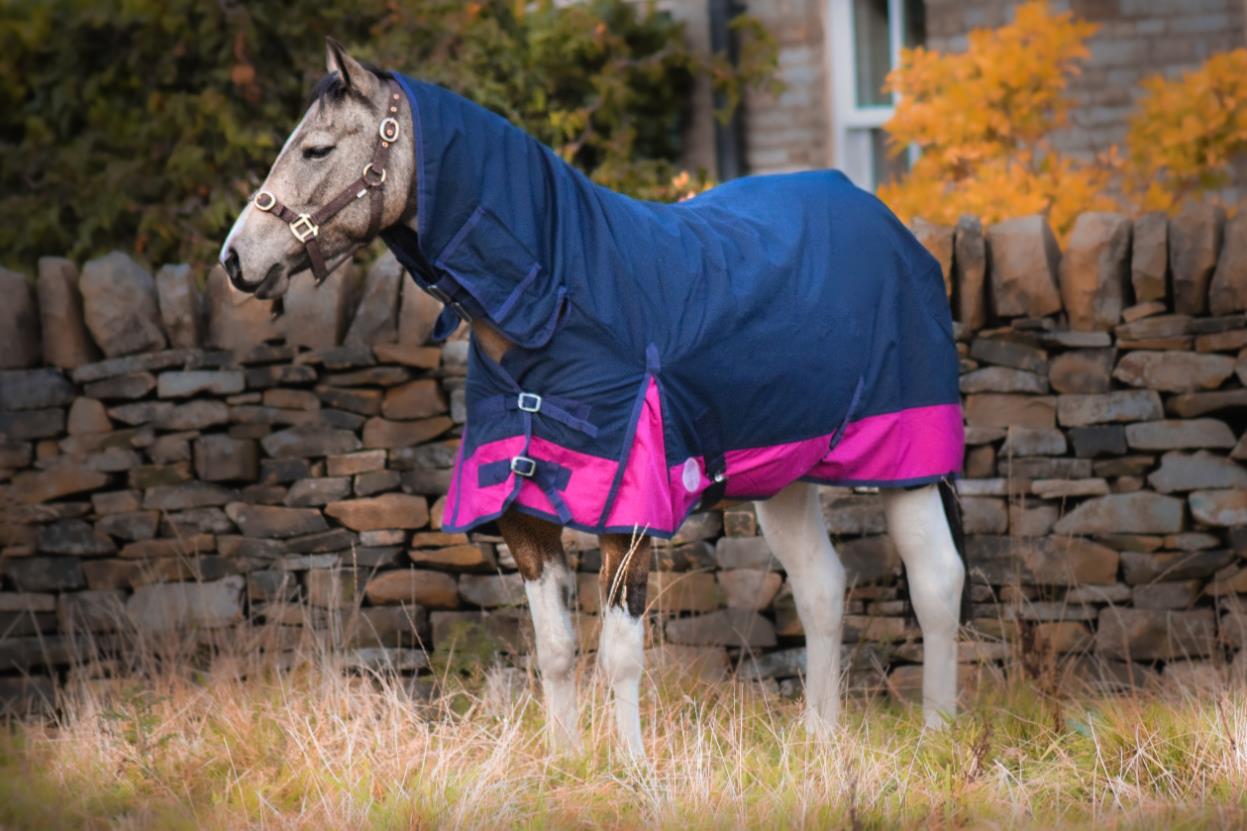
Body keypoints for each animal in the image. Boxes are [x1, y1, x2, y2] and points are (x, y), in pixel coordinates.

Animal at [221, 39, 968, 760]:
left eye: (318, 149)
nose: (235, 260)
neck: (563, 300)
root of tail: (887, 223)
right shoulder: (521, 513)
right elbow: (554, 650)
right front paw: (564, 761)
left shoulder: (630, 512)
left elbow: (619, 654)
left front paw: (632, 768)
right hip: (782, 476)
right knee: (821, 589)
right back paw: (818, 736)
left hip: (910, 462)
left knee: (936, 581)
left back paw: (936, 735)